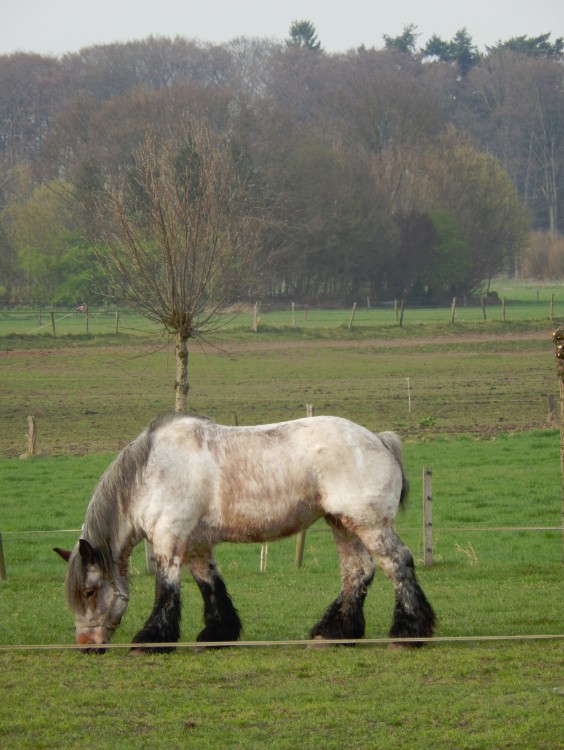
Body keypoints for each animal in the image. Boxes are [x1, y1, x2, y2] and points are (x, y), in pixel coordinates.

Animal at [55, 412, 436, 652]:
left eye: (89, 592)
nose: (86, 646)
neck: (151, 471)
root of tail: (379, 440)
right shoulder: (196, 545)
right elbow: (210, 586)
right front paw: (217, 634)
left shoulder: (169, 538)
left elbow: (166, 589)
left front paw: (151, 641)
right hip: (342, 523)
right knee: (358, 571)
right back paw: (334, 633)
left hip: (369, 524)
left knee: (398, 564)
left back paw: (408, 633)